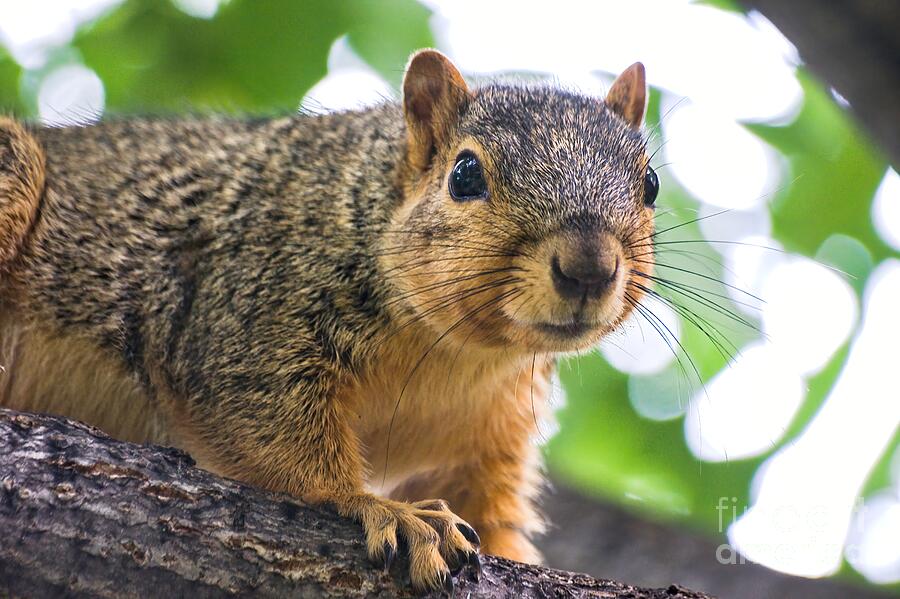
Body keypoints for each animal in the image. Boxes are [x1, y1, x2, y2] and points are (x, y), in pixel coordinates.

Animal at [0, 50, 656, 593]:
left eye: (649, 182)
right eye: (465, 175)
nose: (589, 267)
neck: (459, 354)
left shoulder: (490, 436)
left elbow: (492, 522)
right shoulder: (245, 311)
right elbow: (268, 427)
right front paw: (384, 509)